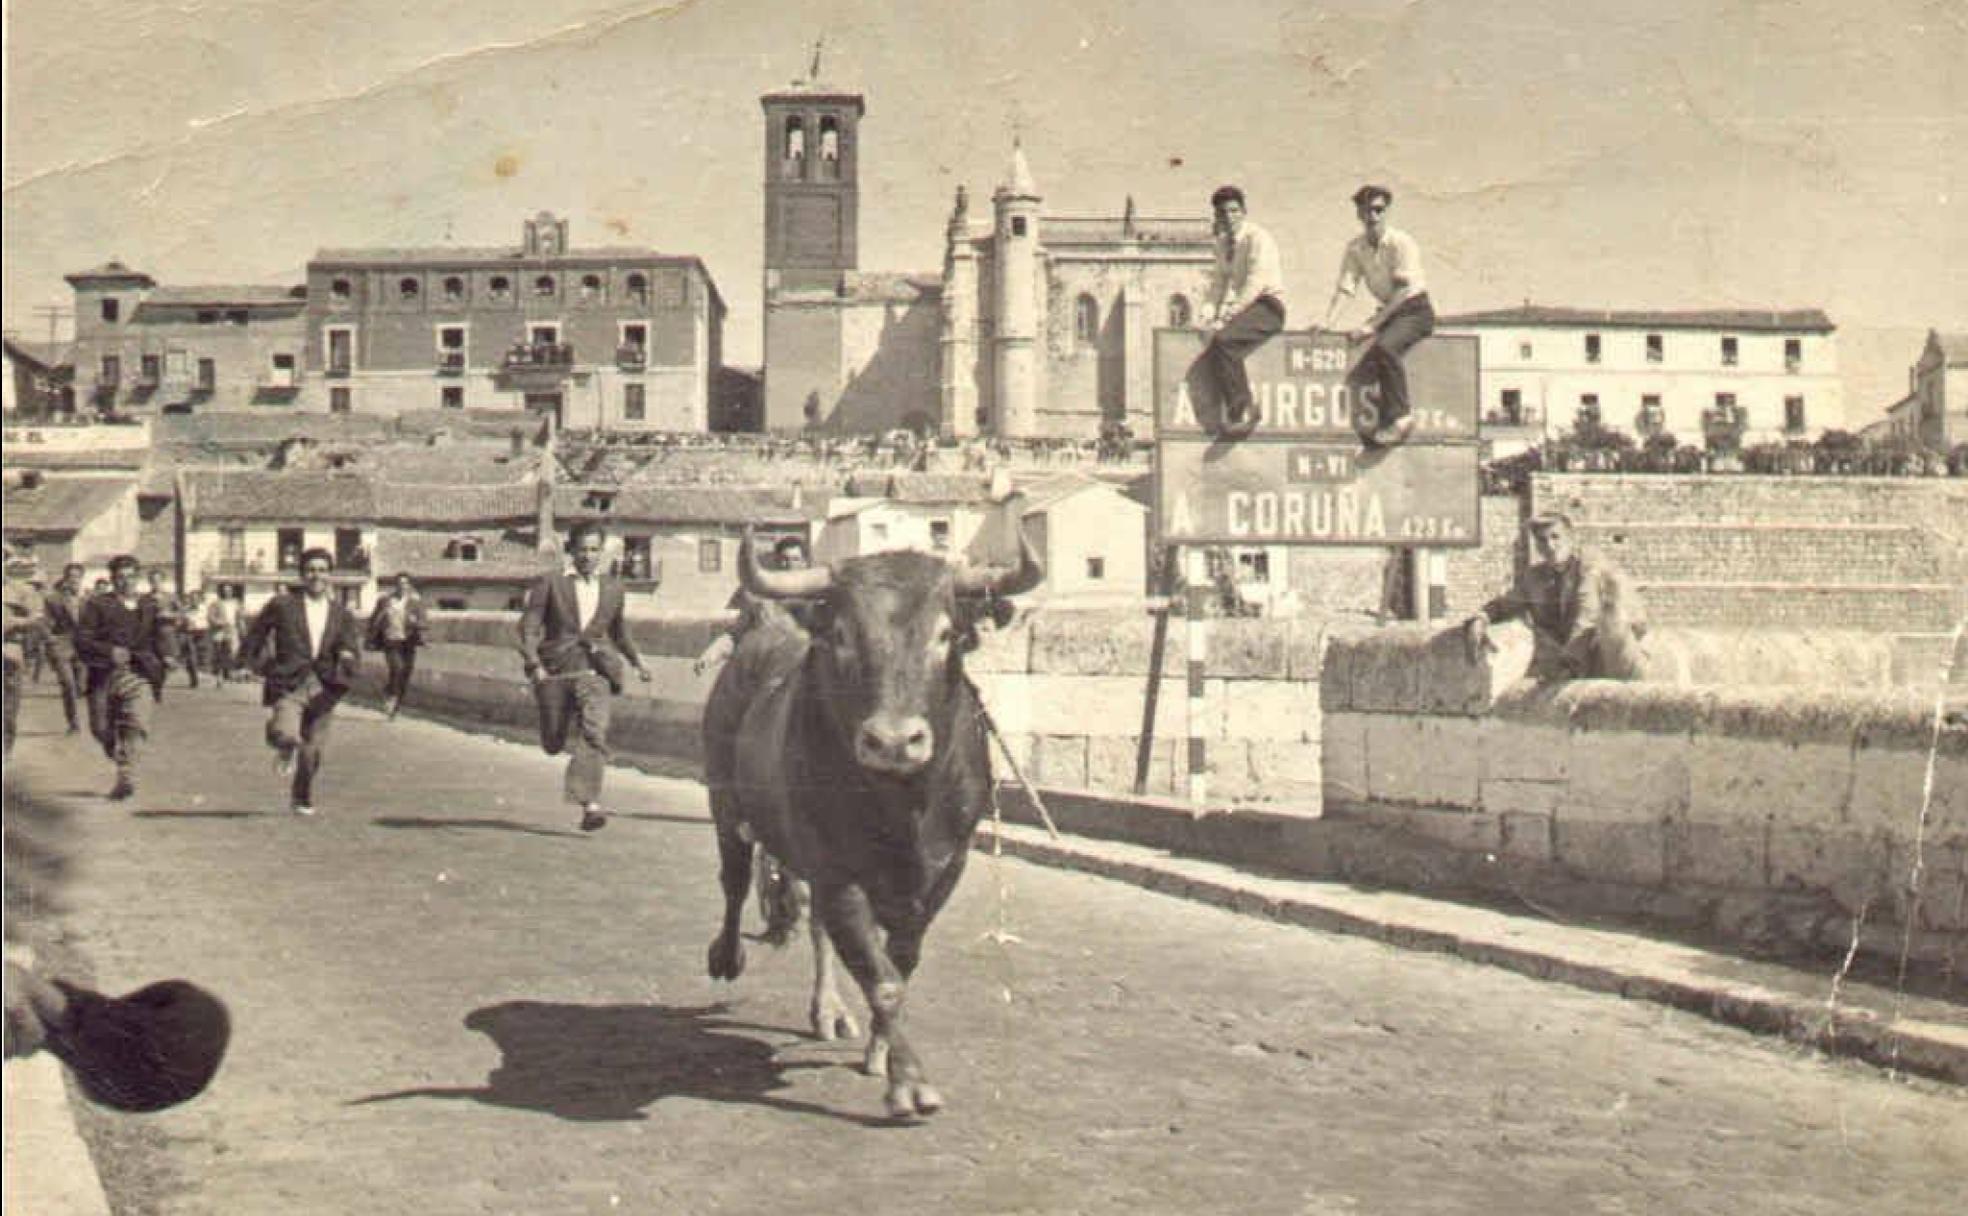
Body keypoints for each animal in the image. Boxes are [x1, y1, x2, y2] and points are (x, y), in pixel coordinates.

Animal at [708, 531, 1046, 1117]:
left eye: (944, 633)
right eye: (843, 634)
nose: (892, 741)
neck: (903, 804)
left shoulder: (943, 871)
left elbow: (900, 963)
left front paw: (881, 1051)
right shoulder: (838, 872)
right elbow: (882, 978)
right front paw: (910, 1081)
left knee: (813, 923)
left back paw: (828, 1009)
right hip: (724, 800)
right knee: (734, 881)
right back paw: (728, 955)